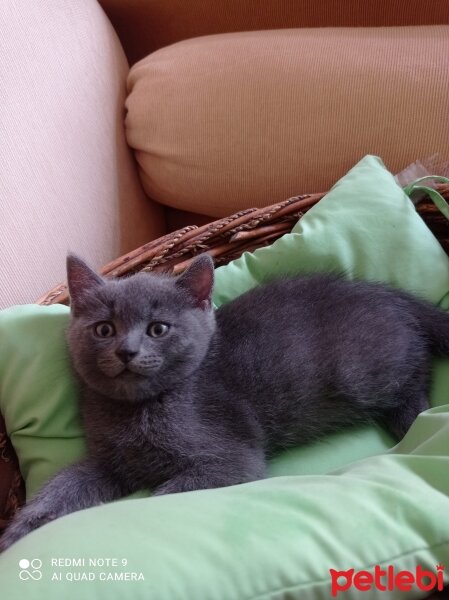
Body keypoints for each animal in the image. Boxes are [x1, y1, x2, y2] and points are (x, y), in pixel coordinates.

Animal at [1, 251, 446, 552]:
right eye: (104, 329)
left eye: (158, 328)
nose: (126, 351)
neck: (140, 411)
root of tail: (392, 296)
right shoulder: (110, 463)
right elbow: (65, 484)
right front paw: (21, 530)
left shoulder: (232, 456)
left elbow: (167, 492)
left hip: (364, 372)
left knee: (417, 368)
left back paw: (412, 416)